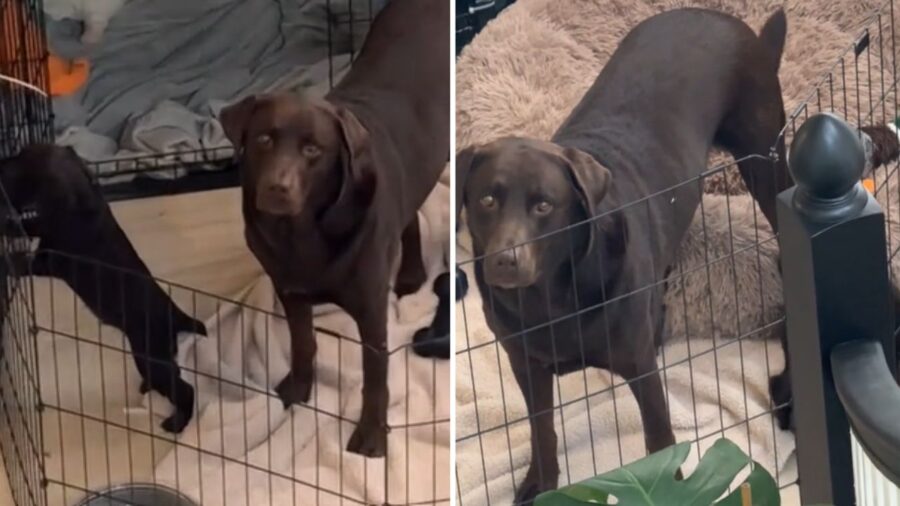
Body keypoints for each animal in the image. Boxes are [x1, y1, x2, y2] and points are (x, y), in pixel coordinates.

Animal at [0, 144, 206, 432]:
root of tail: (177, 315)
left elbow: (18, 252)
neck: (80, 199)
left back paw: (176, 422)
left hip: (149, 356)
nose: (1, 165)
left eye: (22, 162)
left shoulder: (45, 260)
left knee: (185, 390)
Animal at [458, 9, 788, 504]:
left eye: (544, 205)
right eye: (487, 200)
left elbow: (660, 439)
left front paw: (670, 486)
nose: (505, 260)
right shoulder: (525, 364)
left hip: (765, 159)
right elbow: (542, 431)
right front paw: (539, 483)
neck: (551, 299)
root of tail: (720, 17)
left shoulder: (639, 369)